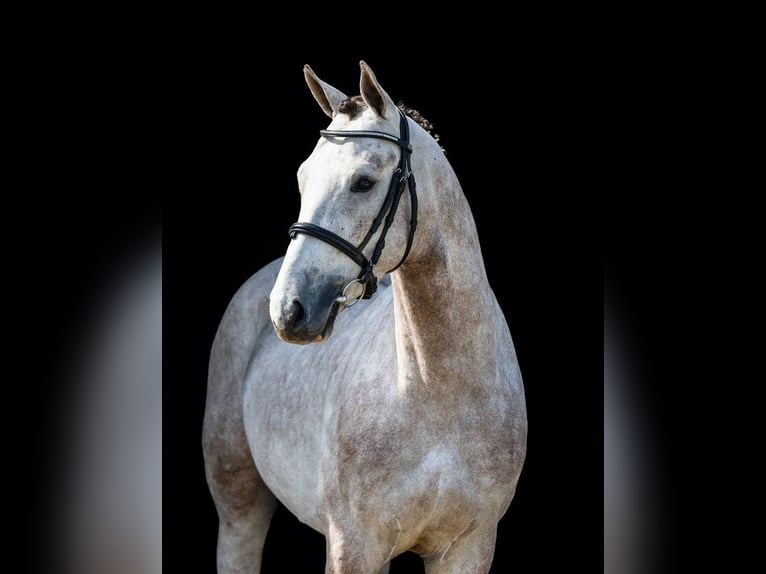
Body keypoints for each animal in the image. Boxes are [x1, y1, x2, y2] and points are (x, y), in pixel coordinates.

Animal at [202, 60, 528, 572]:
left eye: (363, 182)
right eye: (303, 178)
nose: (289, 309)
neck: (439, 394)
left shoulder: (469, 547)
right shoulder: (354, 546)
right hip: (239, 506)